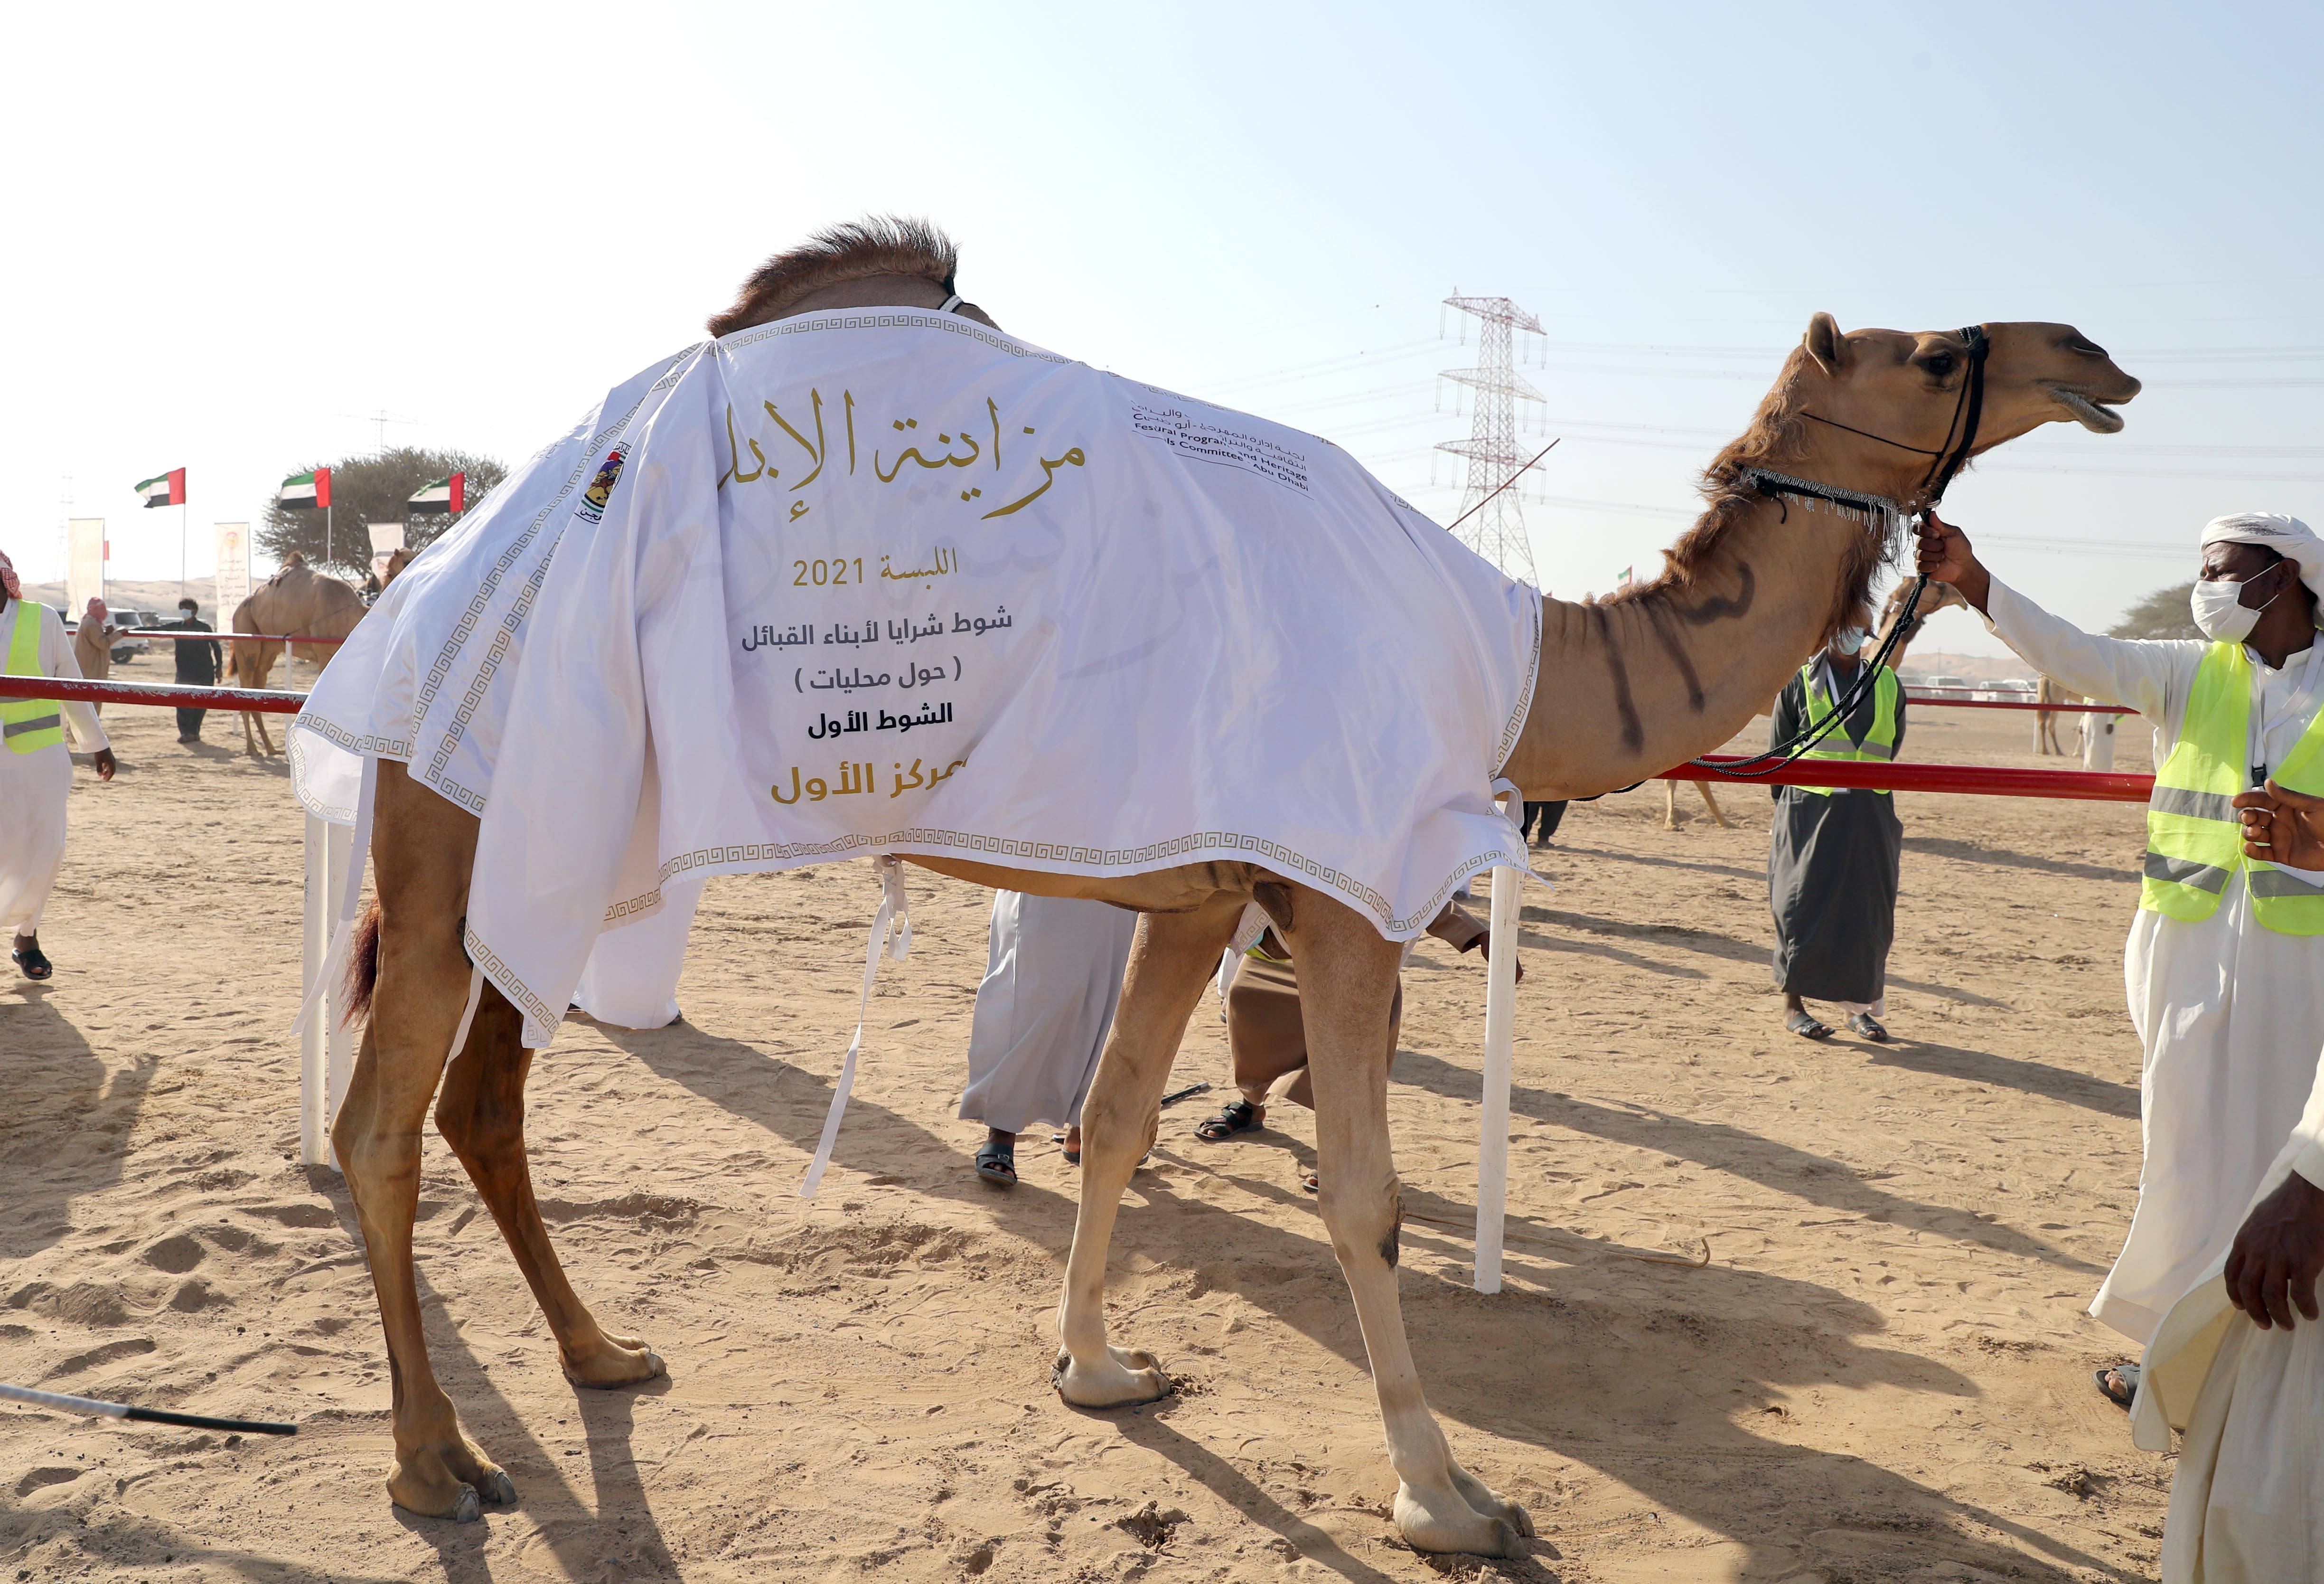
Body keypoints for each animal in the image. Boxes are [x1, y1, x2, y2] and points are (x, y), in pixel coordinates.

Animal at [227, 556, 365, 754]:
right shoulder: (325, 654)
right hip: (245, 633)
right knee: (247, 678)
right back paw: (253, 749)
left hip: (269, 649)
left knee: (259, 682)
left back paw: (270, 748)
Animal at [328, 226, 2138, 1554]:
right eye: (1929, 351)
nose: (2094, 353)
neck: (1519, 659)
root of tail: (444, 559)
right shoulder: (1341, 899)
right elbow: (1366, 1198)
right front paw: (1446, 1490)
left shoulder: (1203, 892)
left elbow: (1119, 1110)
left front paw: (1096, 1365)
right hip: (455, 814)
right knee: (380, 1121)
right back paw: (432, 1463)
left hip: (551, 856)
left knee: (483, 1098)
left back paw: (601, 1351)